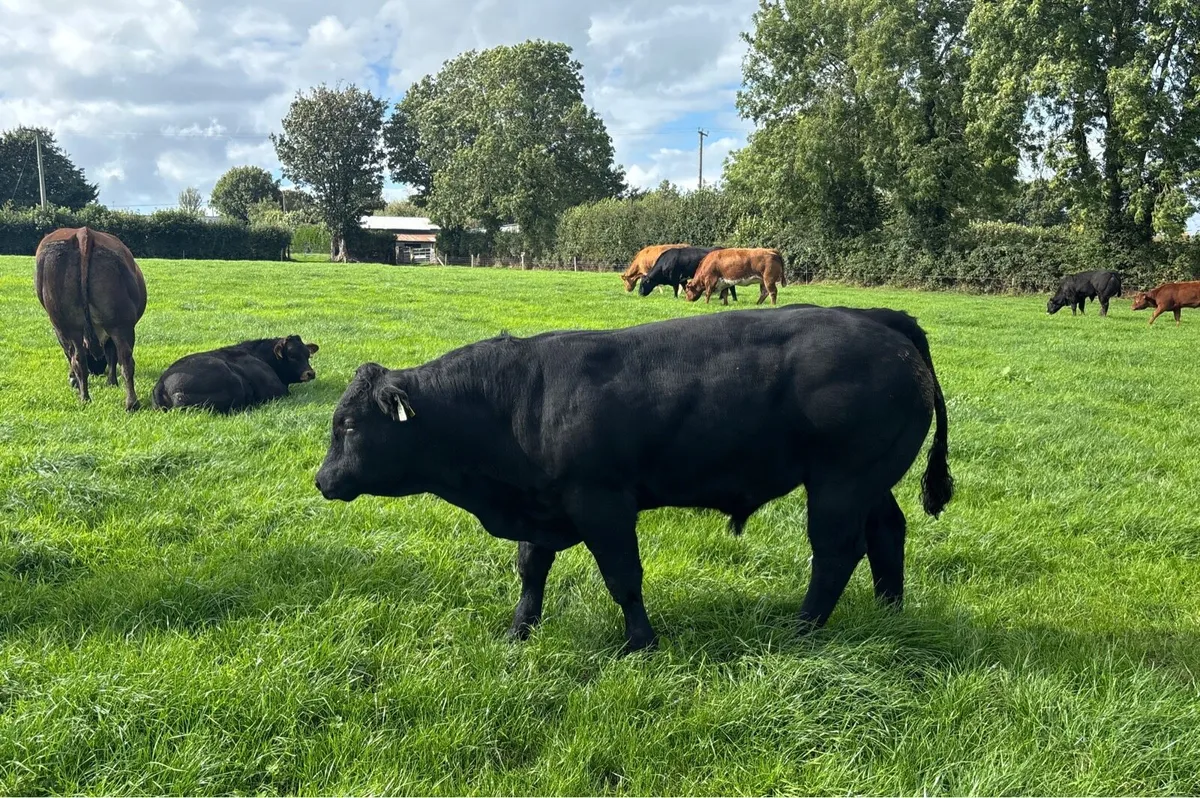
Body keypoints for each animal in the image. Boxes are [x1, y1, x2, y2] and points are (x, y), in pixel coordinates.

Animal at [34, 227, 147, 411]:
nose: (98, 370)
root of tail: (83, 232)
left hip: (91, 325)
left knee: (106, 359)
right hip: (110, 325)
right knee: (111, 359)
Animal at [314, 305, 953, 654]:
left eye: (347, 424)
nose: (322, 481)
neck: (515, 401)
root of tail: (881, 320)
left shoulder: (602, 503)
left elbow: (623, 577)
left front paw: (641, 643)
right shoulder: (543, 507)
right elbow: (531, 569)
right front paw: (519, 632)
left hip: (840, 481)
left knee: (835, 552)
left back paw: (802, 631)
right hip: (870, 481)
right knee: (887, 533)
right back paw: (889, 611)